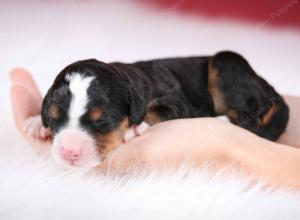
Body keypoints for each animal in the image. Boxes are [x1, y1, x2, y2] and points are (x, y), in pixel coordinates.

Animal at [24, 51, 288, 168]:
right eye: (54, 119)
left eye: (103, 120)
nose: (69, 152)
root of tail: (271, 90)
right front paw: (36, 123)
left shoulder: (175, 103)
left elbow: (156, 112)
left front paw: (134, 128)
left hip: (226, 63)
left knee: (249, 121)